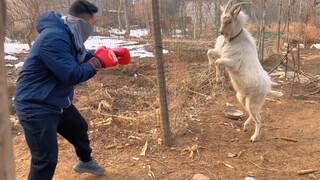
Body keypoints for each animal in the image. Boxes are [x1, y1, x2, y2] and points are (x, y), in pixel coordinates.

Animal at [206, 0, 276, 142]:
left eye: (229, 20)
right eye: (222, 19)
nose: (221, 32)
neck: (233, 39)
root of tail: (268, 90)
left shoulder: (232, 63)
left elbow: (218, 62)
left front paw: (218, 79)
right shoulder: (220, 52)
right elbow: (210, 52)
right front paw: (210, 66)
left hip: (253, 102)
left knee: (259, 119)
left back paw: (254, 137)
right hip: (243, 99)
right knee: (253, 114)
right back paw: (245, 126)